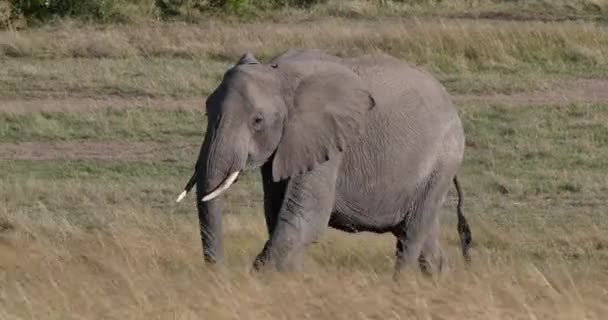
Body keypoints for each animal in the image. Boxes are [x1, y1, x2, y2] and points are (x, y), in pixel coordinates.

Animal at [173, 48, 472, 278]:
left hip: (442, 161)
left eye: (257, 121)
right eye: (206, 110)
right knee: (425, 236)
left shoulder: (328, 142)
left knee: (411, 235)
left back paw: (398, 286)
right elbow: (276, 212)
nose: (219, 273)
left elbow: (307, 215)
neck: (280, 75)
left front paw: (264, 276)